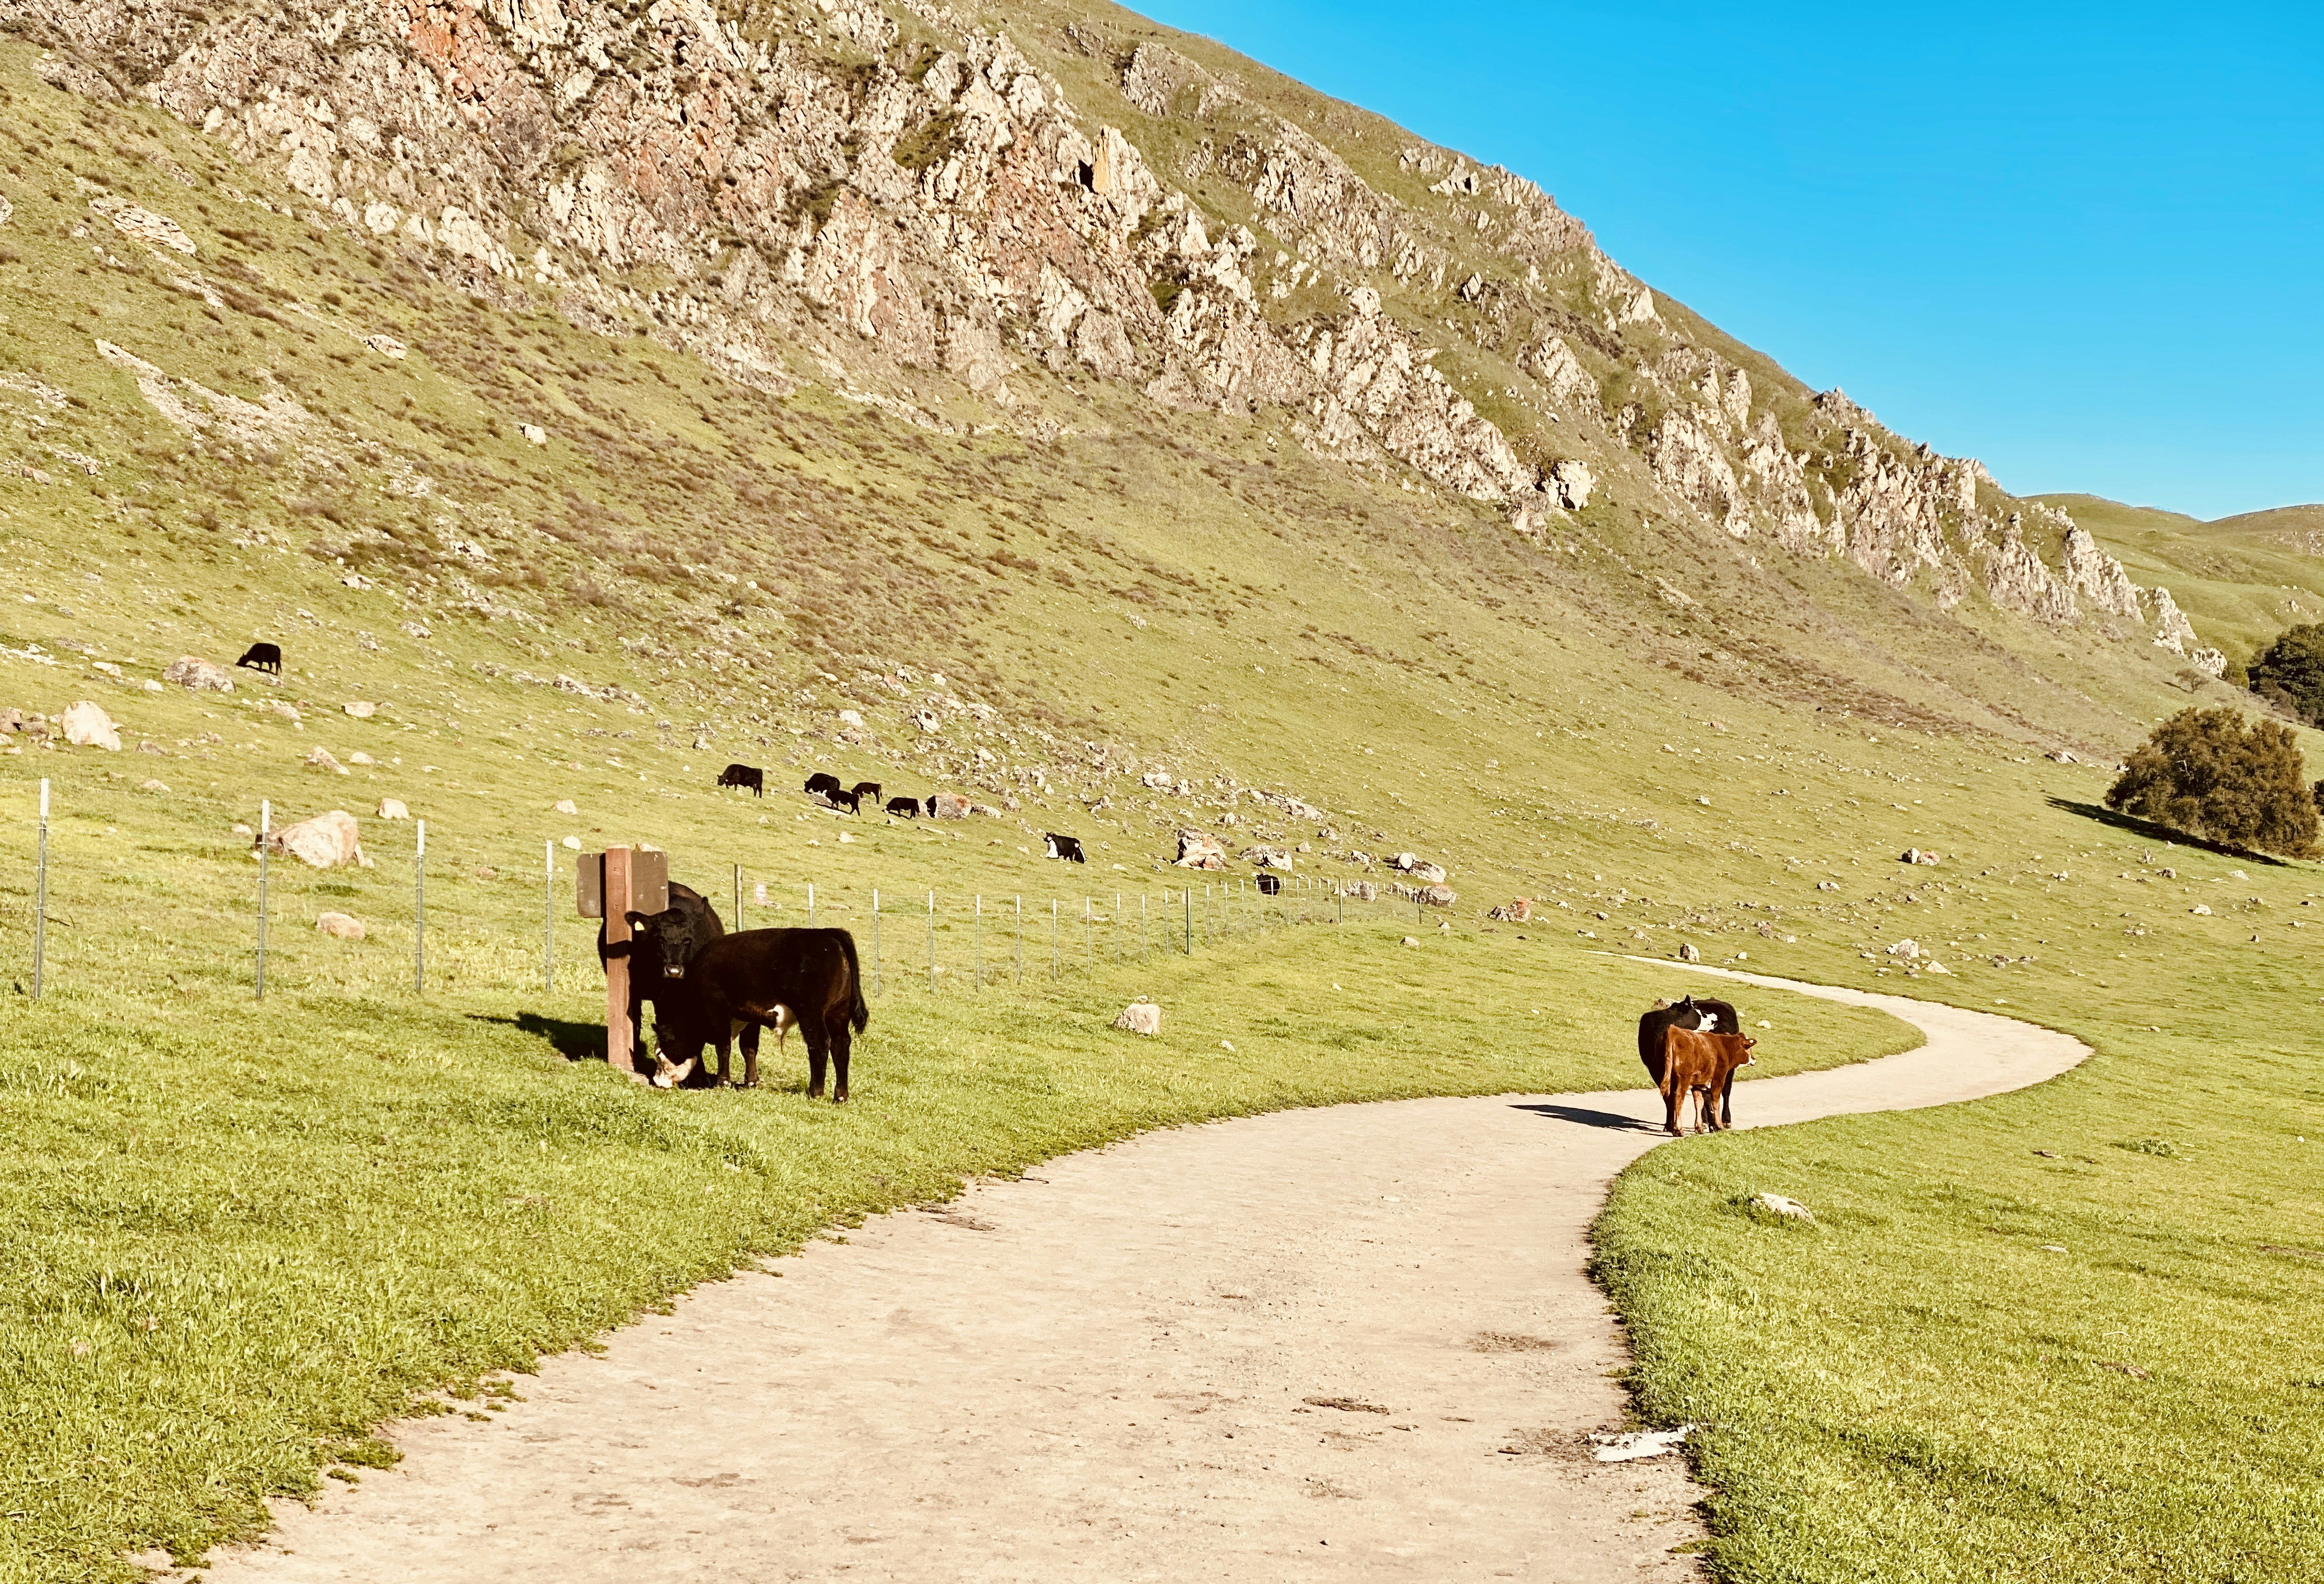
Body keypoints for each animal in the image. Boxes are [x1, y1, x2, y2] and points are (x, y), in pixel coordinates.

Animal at [624, 921, 868, 1100]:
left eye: (659, 1053)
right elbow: (749, 1048)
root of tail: (826, 934)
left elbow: (723, 1046)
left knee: (820, 1043)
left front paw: (723, 1081)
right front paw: (751, 1081)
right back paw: (840, 1095)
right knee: (841, 1045)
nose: (657, 1081)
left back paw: (815, 1091)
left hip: (811, 1012)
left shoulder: (717, 1009)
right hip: (838, 1014)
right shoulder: (750, 1016)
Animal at [1657, 1028, 1755, 1136]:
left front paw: (1699, 1127)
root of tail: (1674, 1029)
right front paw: (1720, 1126)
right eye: (1749, 1048)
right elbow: (1716, 1102)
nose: (1754, 1059)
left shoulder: (1697, 1084)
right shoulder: (1718, 1079)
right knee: (1678, 1099)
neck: (1724, 1047)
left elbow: (1699, 1103)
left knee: (1669, 1099)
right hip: (1683, 1079)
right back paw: (1678, 1129)